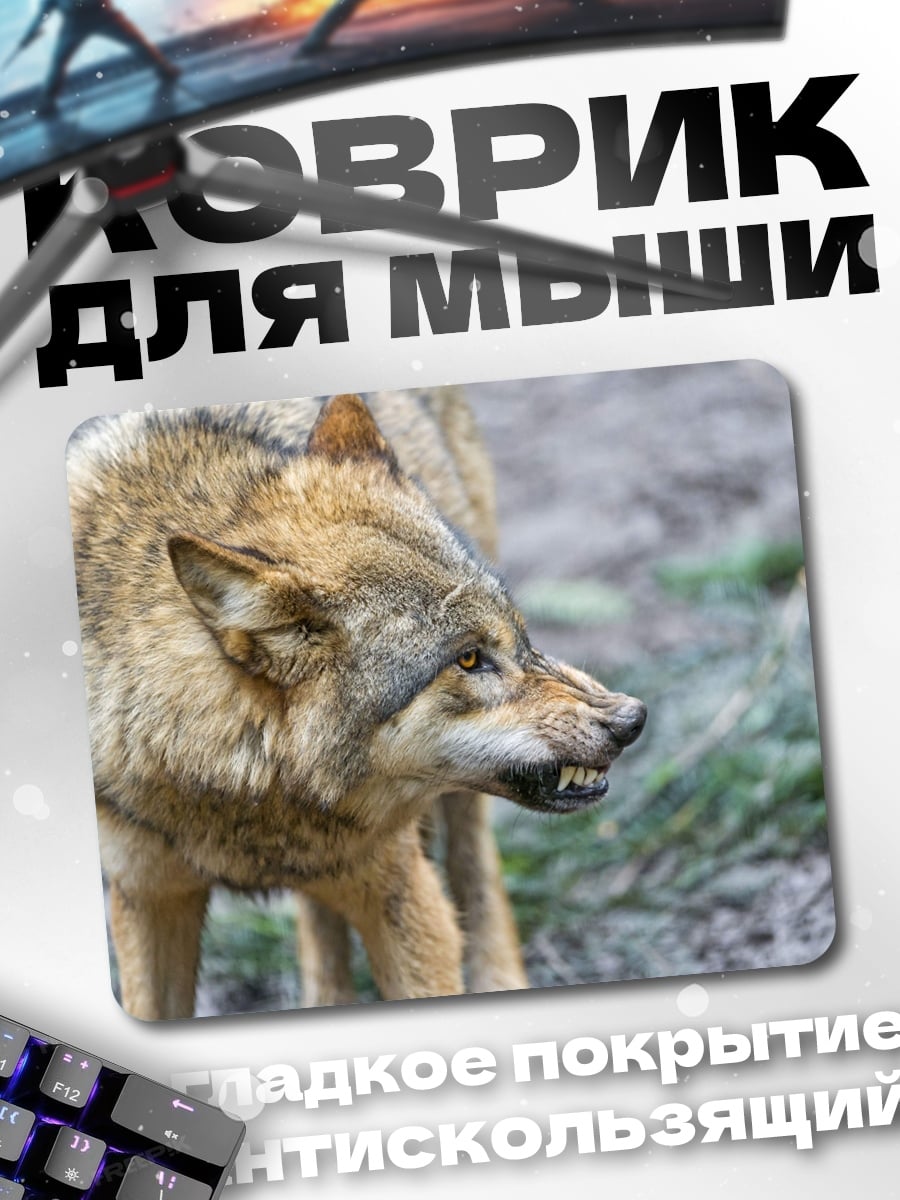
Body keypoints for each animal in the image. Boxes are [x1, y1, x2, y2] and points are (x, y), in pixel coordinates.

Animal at [67, 389, 646, 1019]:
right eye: (469, 659)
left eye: (521, 637)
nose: (630, 718)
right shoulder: (145, 897)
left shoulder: (405, 896)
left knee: (476, 870)